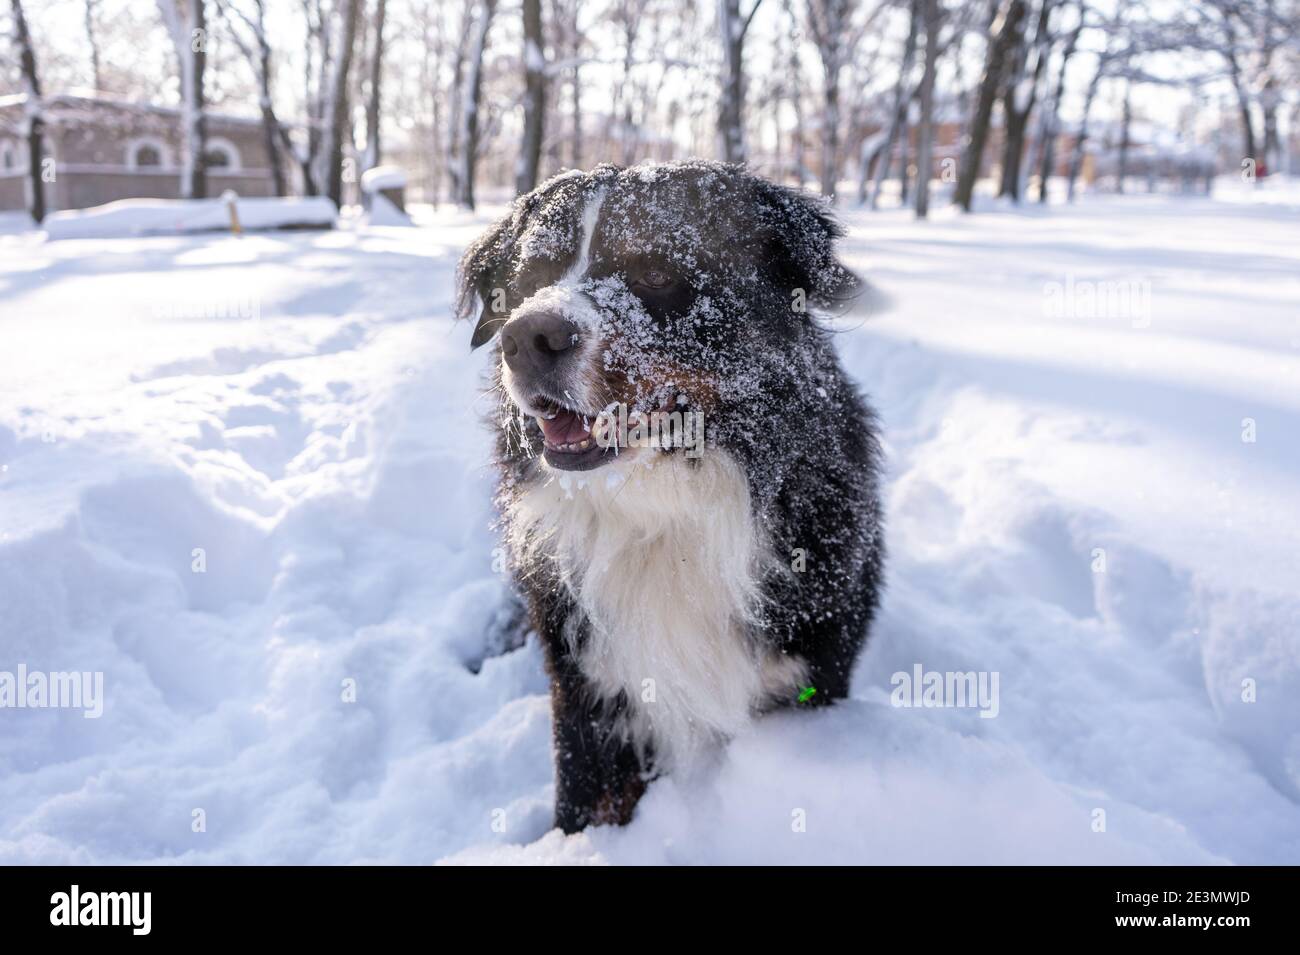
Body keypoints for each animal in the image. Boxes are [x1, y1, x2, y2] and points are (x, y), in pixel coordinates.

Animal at [457, 160, 883, 831]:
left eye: (655, 273)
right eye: (531, 280)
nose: (528, 337)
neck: (661, 512)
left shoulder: (807, 672)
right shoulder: (589, 691)